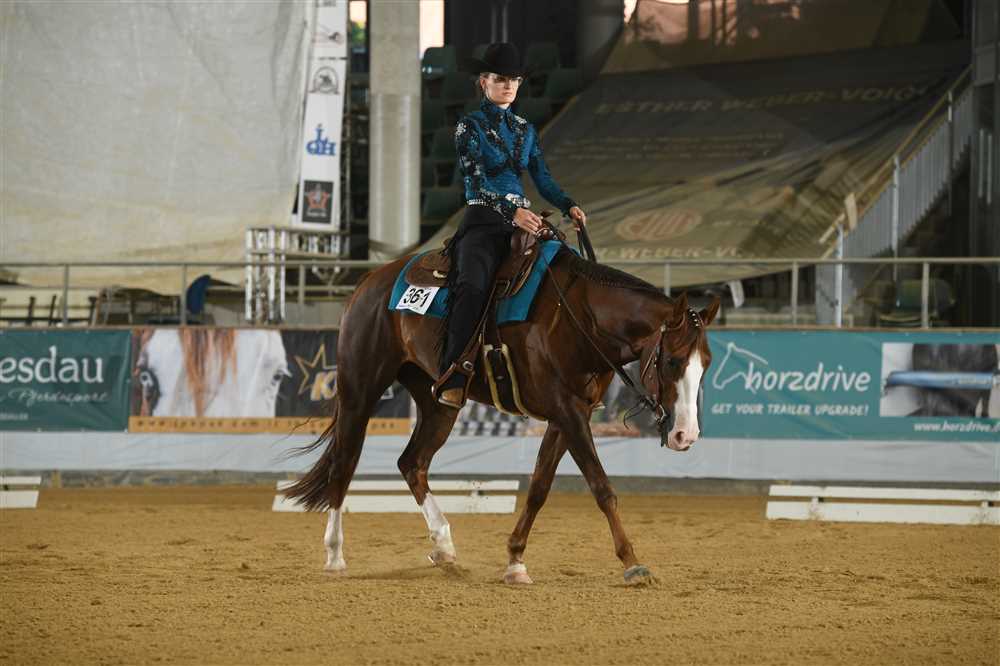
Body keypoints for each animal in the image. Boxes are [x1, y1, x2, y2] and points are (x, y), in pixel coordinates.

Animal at [281, 241, 720, 585]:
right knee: (344, 464)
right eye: (672, 361)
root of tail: (368, 282)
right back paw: (335, 556)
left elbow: (539, 488)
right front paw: (632, 562)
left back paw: (444, 547)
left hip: (438, 402)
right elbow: (602, 488)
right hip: (360, 389)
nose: (686, 435)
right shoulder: (568, 412)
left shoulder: (566, 415)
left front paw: (515, 561)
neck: (578, 317)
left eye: (706, 364)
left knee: (412, 463)